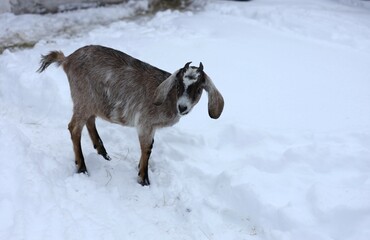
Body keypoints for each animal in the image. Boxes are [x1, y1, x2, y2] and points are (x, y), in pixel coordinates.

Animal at [37, 44, 224, 186]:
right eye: (178, 85)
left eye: (199, 89)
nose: (183, 107)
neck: (168, 98)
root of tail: (67, 59)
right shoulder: (145, 122)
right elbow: (147, 148)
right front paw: (143, 179)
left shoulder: (151, 126)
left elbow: (149, 146)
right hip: (82, 96)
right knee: (74, 127)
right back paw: (82, 168)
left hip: (93, 101)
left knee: (90, 120)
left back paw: (103, 153)